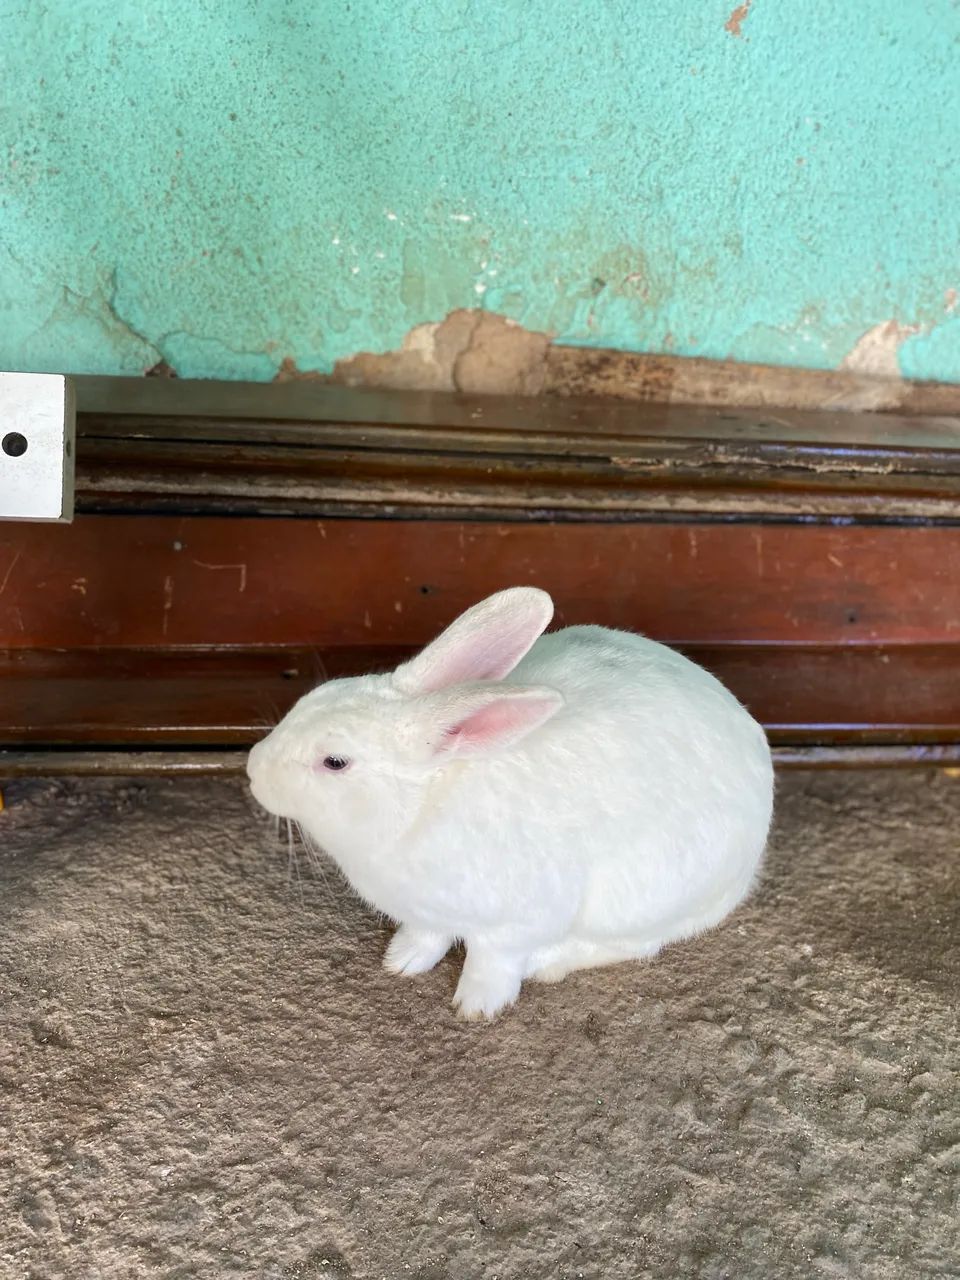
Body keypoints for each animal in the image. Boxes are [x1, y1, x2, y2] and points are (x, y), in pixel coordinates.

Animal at [247, 586, 774, 1020]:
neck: (421, 807)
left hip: (640, 900)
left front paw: (478, 1006)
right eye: (310, 697)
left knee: (637, 944)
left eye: (335, 762)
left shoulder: (517, 922)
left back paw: (548, 964)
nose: (252, 768)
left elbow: (490, 960)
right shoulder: (426, 915)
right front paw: (402, 963)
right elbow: (427, 937)